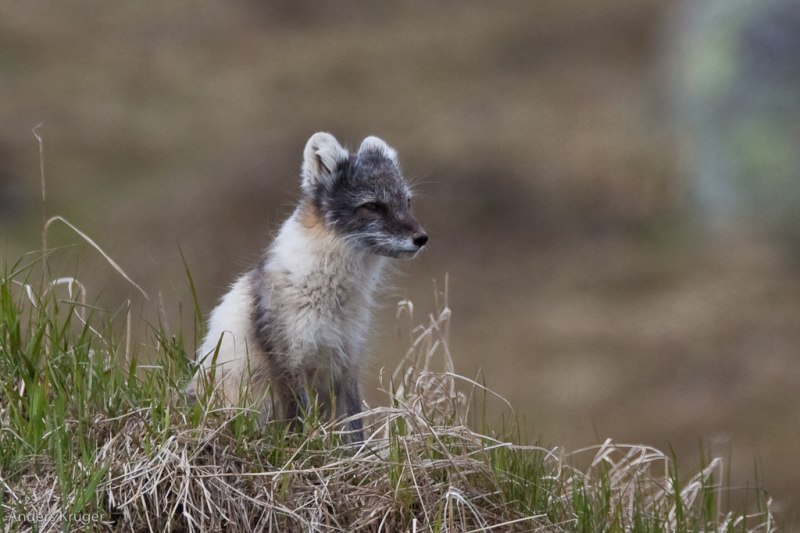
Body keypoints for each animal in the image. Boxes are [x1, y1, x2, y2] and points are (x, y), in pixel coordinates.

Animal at [185, 132, 428, 442]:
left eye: (407, 202)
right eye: (372, 205)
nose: (422, 238)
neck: (332, 296)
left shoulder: (347, 361)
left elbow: (354, 425)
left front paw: (359, 453)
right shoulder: (289, 360)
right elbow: (298, 420)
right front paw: (299, 447)